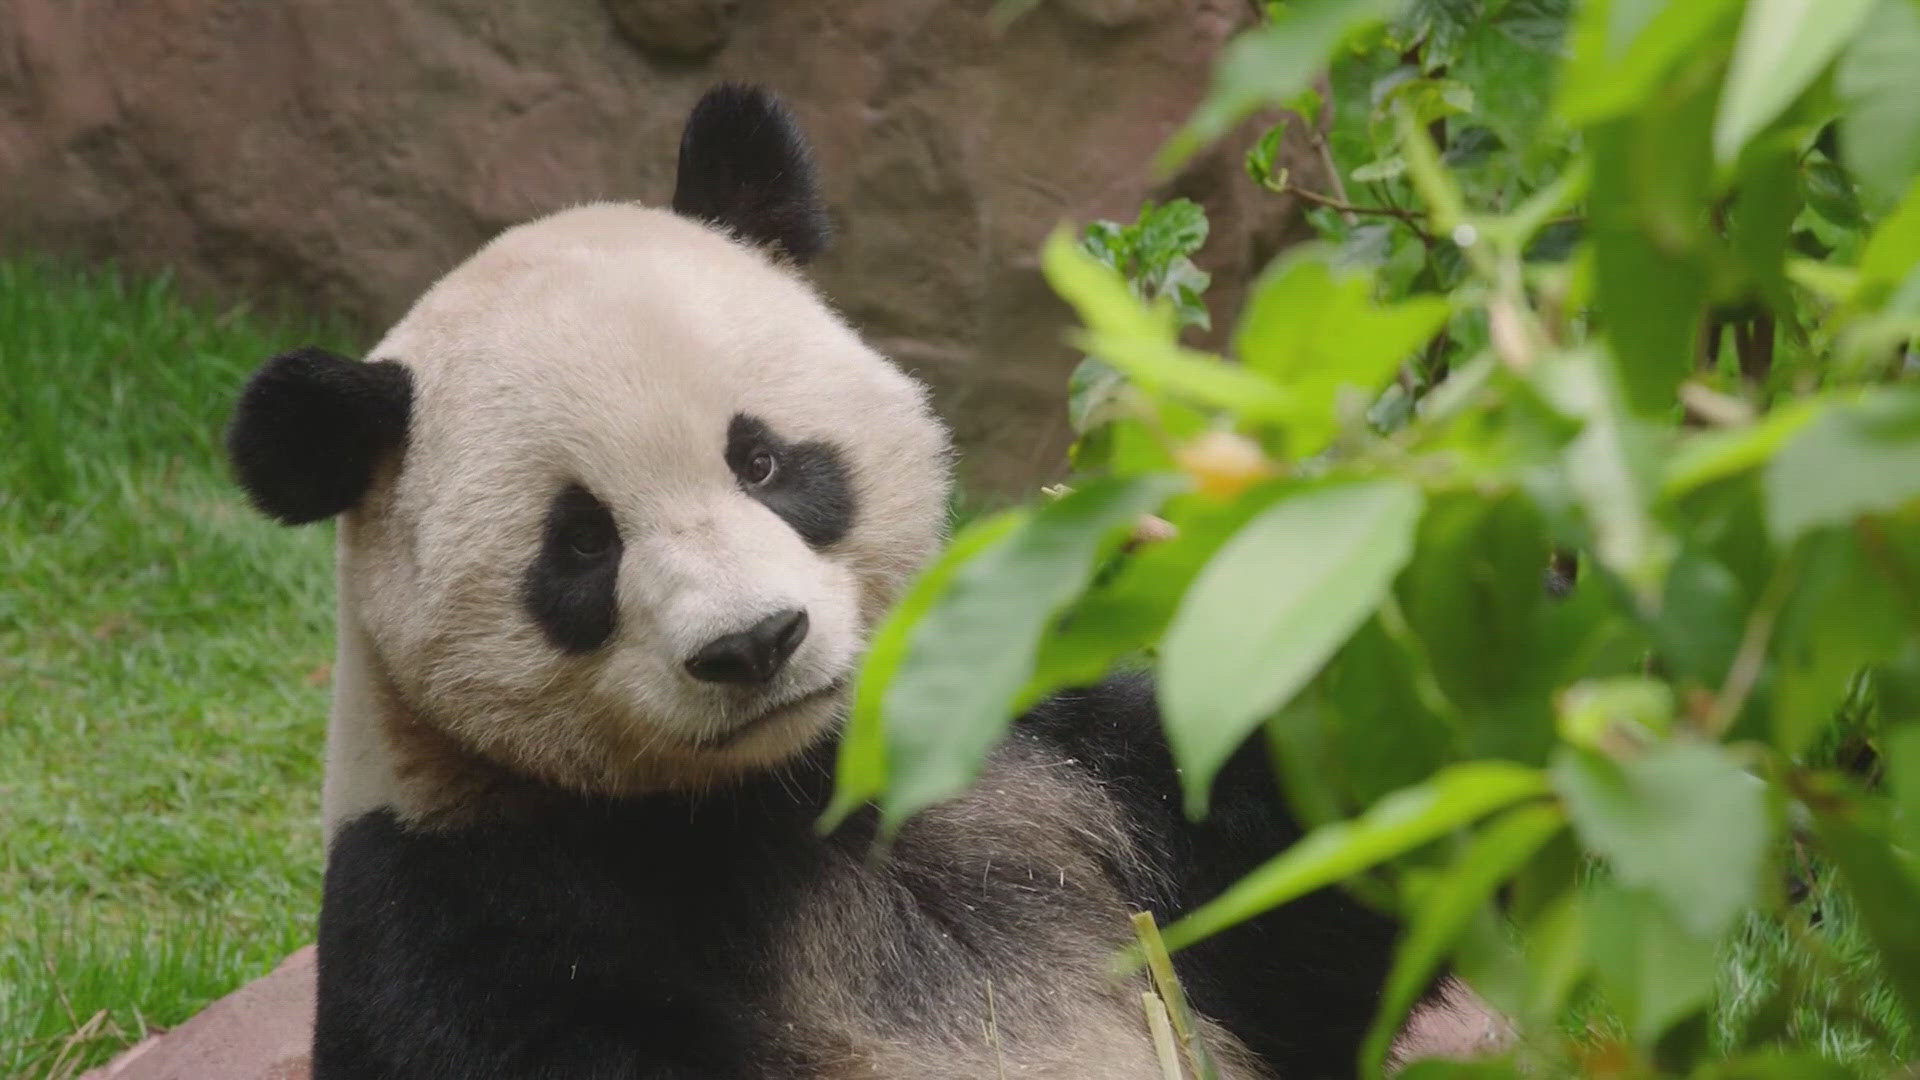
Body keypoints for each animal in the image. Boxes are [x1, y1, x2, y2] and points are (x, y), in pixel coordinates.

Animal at [224, 85, 1428, 1076]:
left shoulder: (1046, 757)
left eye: (760, 461)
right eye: (581, 545)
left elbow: (1321, 893)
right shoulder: (466, 895)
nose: (753, 643)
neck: (792, 789)